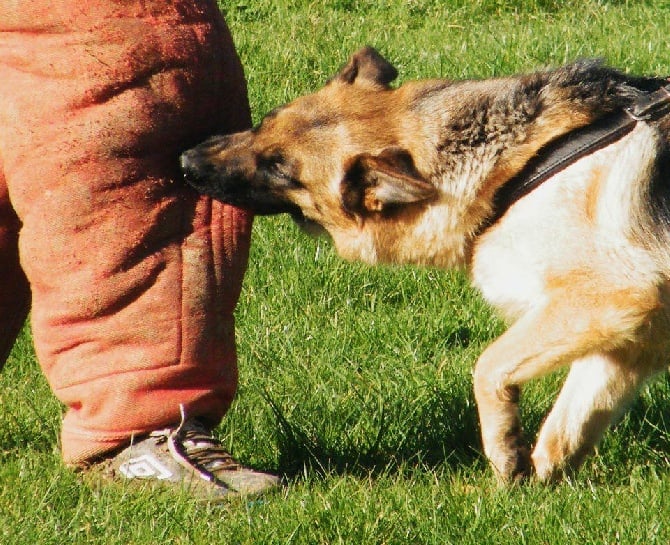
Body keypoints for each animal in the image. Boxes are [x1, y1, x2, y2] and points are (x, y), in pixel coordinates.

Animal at [181, 46, 670, 480]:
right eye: (264, 123)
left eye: (281, 170)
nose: (186, 160)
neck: (512, 170)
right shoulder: (628, 340)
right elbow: (567, 427)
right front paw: (538, 485)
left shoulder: (614, 296)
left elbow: (488, 365)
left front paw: (504, 450)